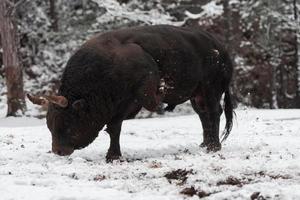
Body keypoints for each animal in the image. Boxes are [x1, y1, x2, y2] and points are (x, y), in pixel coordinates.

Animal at [27, 25, 234, 162]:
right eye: (50, 125)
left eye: (68, 123)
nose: (58, 151)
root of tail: (221, 47)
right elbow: (113, 128)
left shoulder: (131, 99)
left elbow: (116, 127)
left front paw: (113, 156)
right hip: (196, 96)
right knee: (203, 116)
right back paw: (205, 143)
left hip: (210, 89)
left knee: (214, 113)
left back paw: (214, 146)